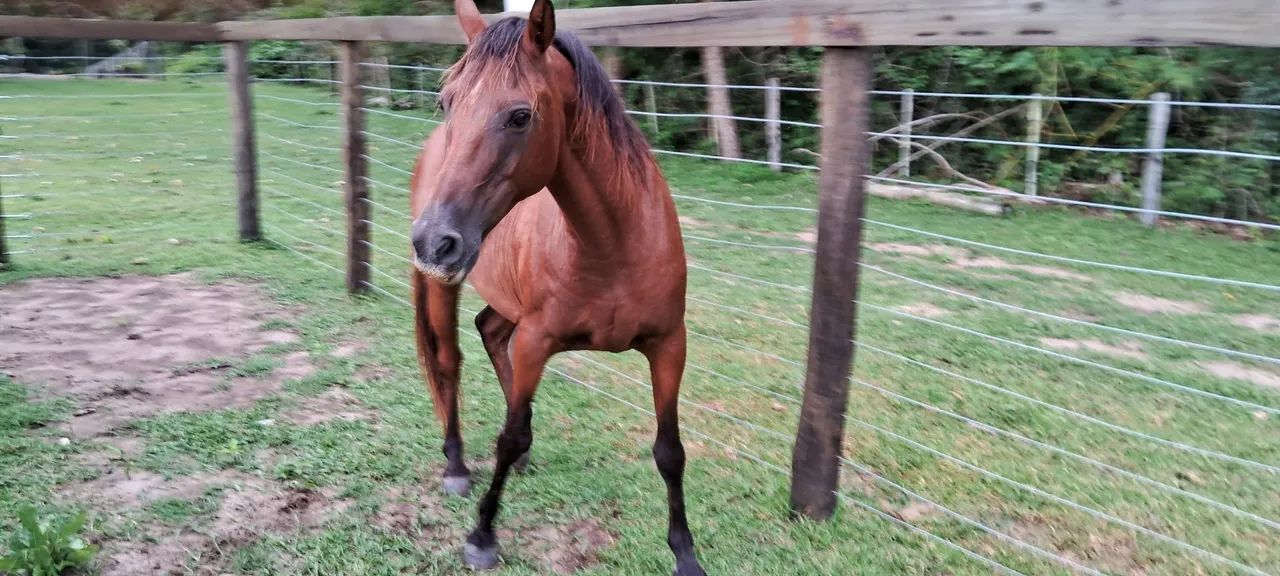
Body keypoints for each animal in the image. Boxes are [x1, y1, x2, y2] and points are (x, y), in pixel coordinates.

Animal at [407, 1, 706, 574]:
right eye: (446, 101)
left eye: (520, 116)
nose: (434, 240)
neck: (611, 244)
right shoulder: (536, 341)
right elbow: (508, 434)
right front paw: (482, 536)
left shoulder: (668, 346)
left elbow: (670, 451)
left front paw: (685, 552)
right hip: (444, 290)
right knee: (450, 361)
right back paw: (456, 466)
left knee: (488, 331)